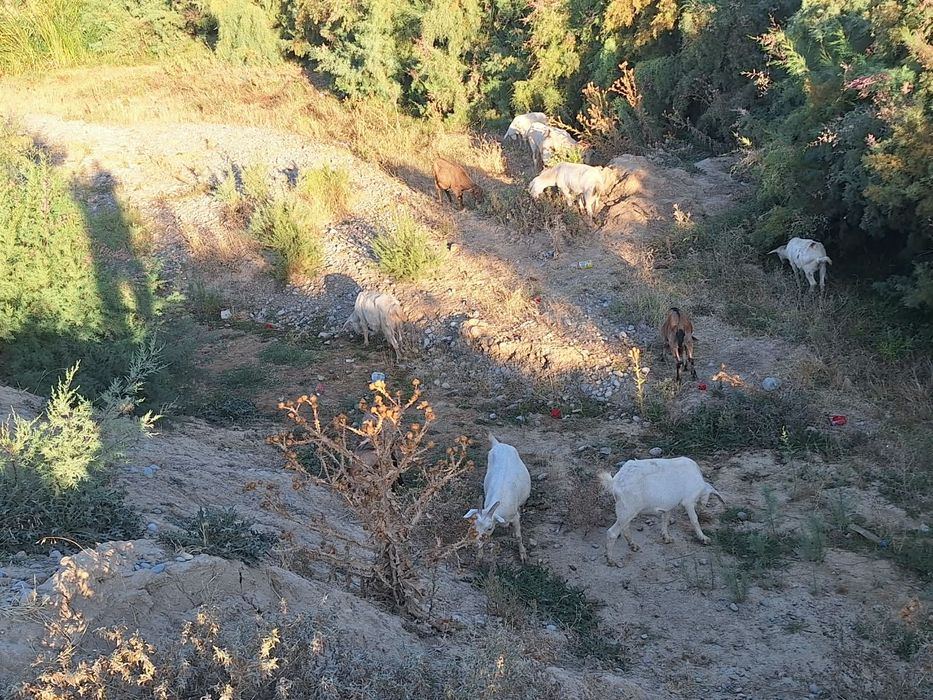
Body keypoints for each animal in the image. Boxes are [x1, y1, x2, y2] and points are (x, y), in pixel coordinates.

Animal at [463, 433, 532, 563]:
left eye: (489, 528)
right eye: (475, 525)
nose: (475, 544)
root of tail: (499, 444)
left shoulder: (515, 517)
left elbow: (519, 536)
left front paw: (523, 555)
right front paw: (479, 557)